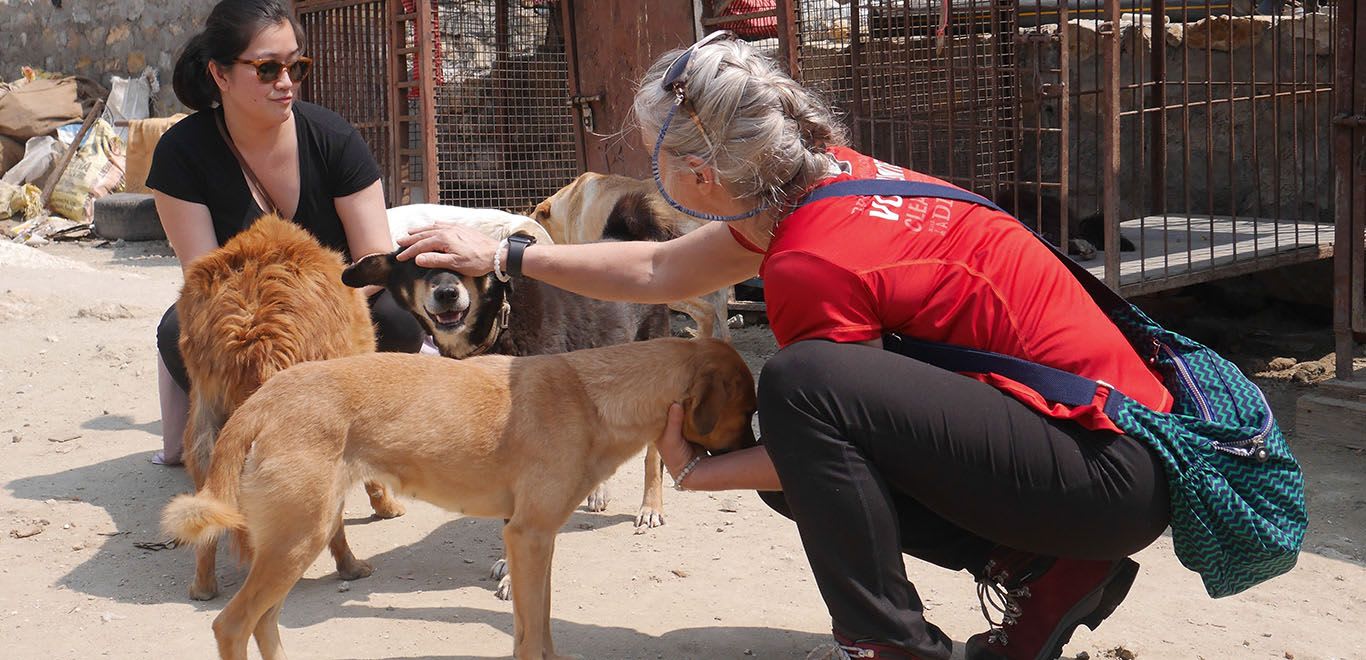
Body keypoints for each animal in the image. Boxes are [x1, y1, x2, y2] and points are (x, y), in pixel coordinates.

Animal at [174, 215, 404, 603]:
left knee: (208, 513)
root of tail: (255, 335)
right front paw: (386, 506)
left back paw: (203, 586)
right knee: (329, 523)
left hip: (204, 435)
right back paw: (350, 566)